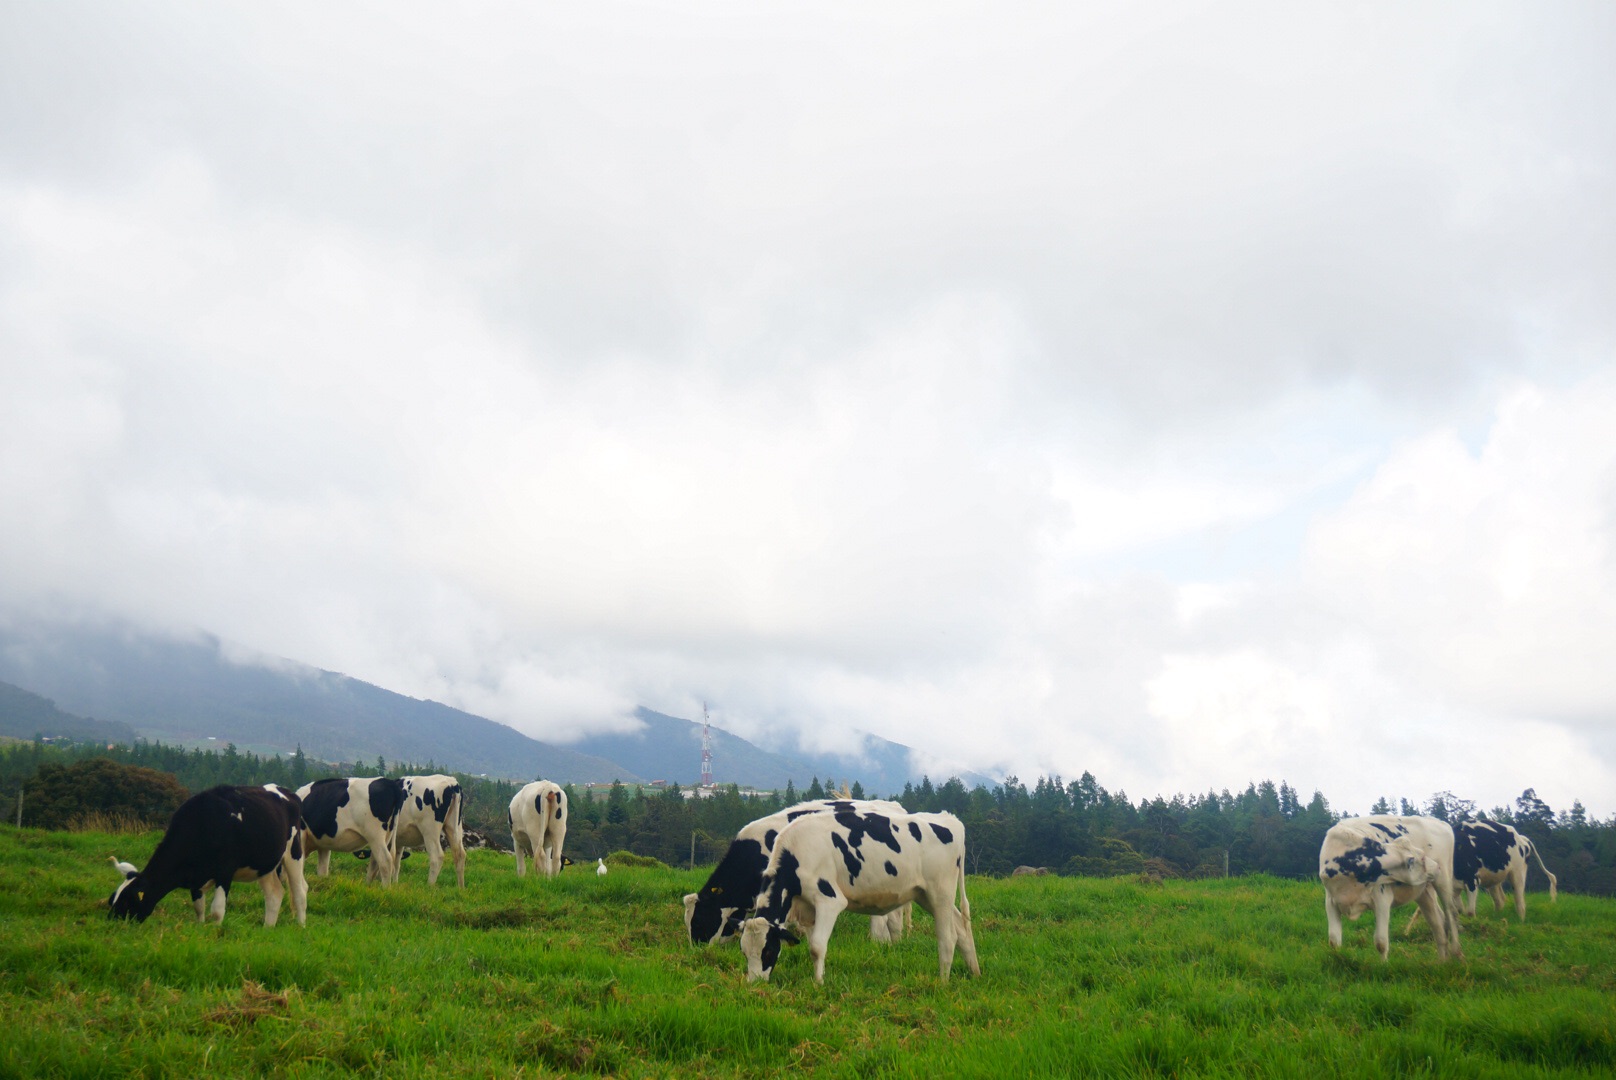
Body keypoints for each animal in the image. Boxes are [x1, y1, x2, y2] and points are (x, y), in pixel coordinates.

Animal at [109, 785, 308, 931]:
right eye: (113, 899)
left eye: (127, 900)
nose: (111, 923)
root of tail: (287, 792)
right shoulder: (196, 878)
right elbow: (199, 907)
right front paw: (201, 928)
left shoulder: (225, 872)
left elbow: (217, 910)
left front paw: (216, 932)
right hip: (265, 865)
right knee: (275, 893)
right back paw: (267, 928)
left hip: (294, 853)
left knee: (300, 892)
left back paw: (301, 926)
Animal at [740, 805, 976, 982]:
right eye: (744, 952)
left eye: (768, 951)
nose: (755, 984)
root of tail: (949, 818)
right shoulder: (808, 910)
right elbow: (813, 945)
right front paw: (819, 976)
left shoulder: (829, 900)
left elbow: (816, 947)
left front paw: (819, 984)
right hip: (924, 895)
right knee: (961, 928)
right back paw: (975, 972)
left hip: (940, 893)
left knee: (948, 937)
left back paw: (943, 981)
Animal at [1325, 814, 1467, 957]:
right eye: (1422, 857)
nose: (1436, 866)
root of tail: (1438, 821)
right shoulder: (1331, 902)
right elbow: (1333, 941)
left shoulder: (1382, 899)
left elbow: (1381, 943)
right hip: (1423, 892)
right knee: (1438, 923)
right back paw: (1442, 960)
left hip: (1443, 880)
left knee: (1451, 912)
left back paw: (1456, 952)